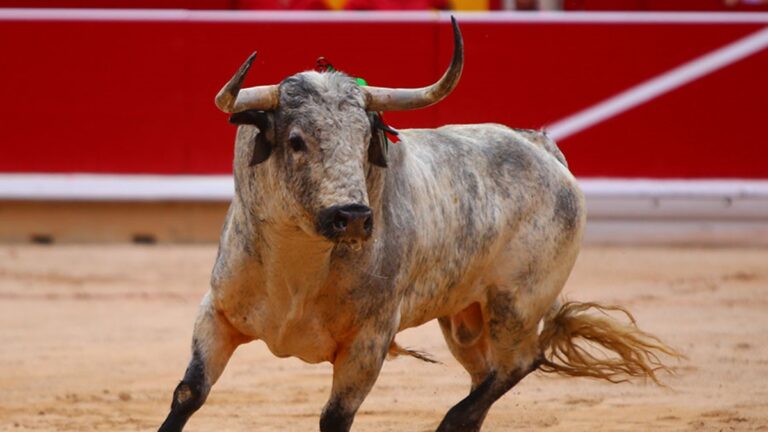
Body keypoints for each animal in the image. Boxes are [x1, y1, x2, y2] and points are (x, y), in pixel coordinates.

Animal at [158, 16, 680, 432]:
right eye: (296, 140)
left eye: (365, 136)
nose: (352, 216)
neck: (298, 264)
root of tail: (541, 147)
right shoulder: (217, 313)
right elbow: (189, 393)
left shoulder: (369, 343)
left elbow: (335, 418)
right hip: (465, 319)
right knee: (486, 373)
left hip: (515, 303)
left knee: (519, 362)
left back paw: (453, 420)